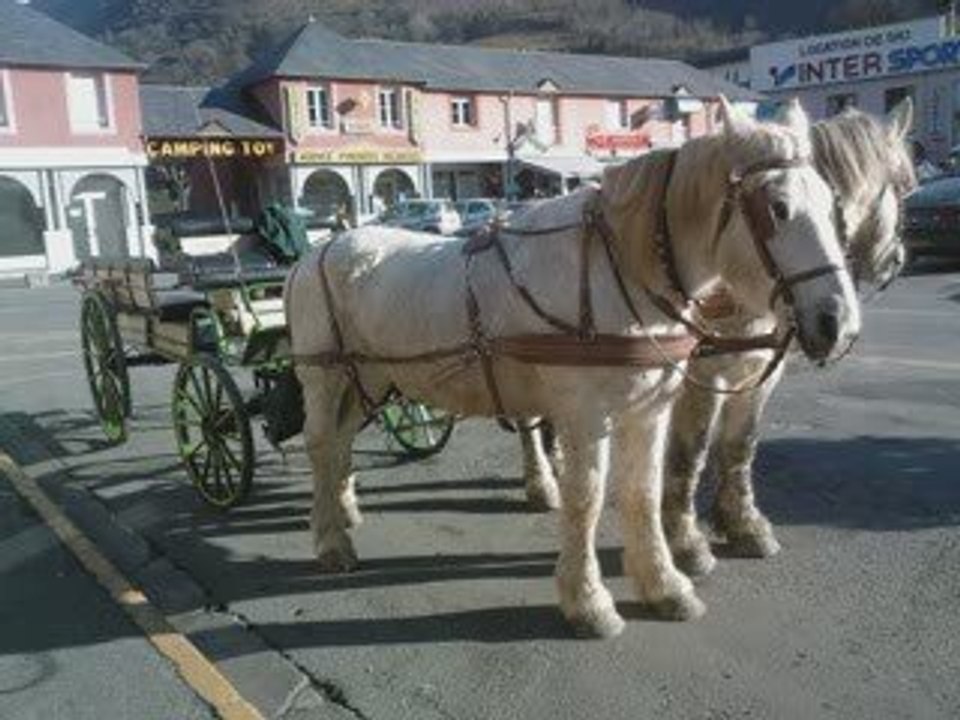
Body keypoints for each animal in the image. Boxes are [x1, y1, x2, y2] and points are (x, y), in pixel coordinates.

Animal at [285, 97, 860, 638]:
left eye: (832, 204)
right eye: (778, 208)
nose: (838, 322)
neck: (620, 265)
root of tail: (314, 252)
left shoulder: (648, 411)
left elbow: (642, 493)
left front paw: (664, 585)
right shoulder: (586, 416)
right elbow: (586, 499)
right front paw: (588, 602)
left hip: (369, 377)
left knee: (340, 443)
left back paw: (343, 511)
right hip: (323, 377)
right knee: (321, 445)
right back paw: (330, 540)